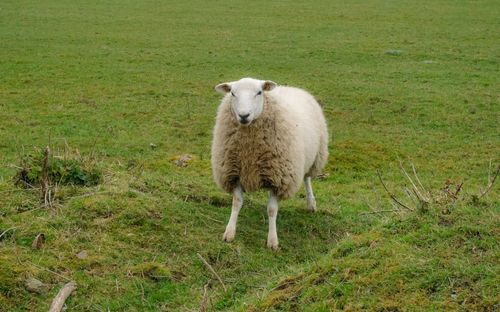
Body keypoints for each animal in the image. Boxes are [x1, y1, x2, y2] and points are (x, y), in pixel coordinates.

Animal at [211, 78, 328, 251]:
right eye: (232, 93)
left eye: (259, 92)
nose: (244, 115)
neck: (249, 151)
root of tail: (291, 88)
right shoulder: (235, 173)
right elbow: (236, 203)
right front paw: (229, 232)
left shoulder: (278, 178)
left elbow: (272, 210)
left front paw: (272, 241)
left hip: (314, 158)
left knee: (307, 179)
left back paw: (311, 203)